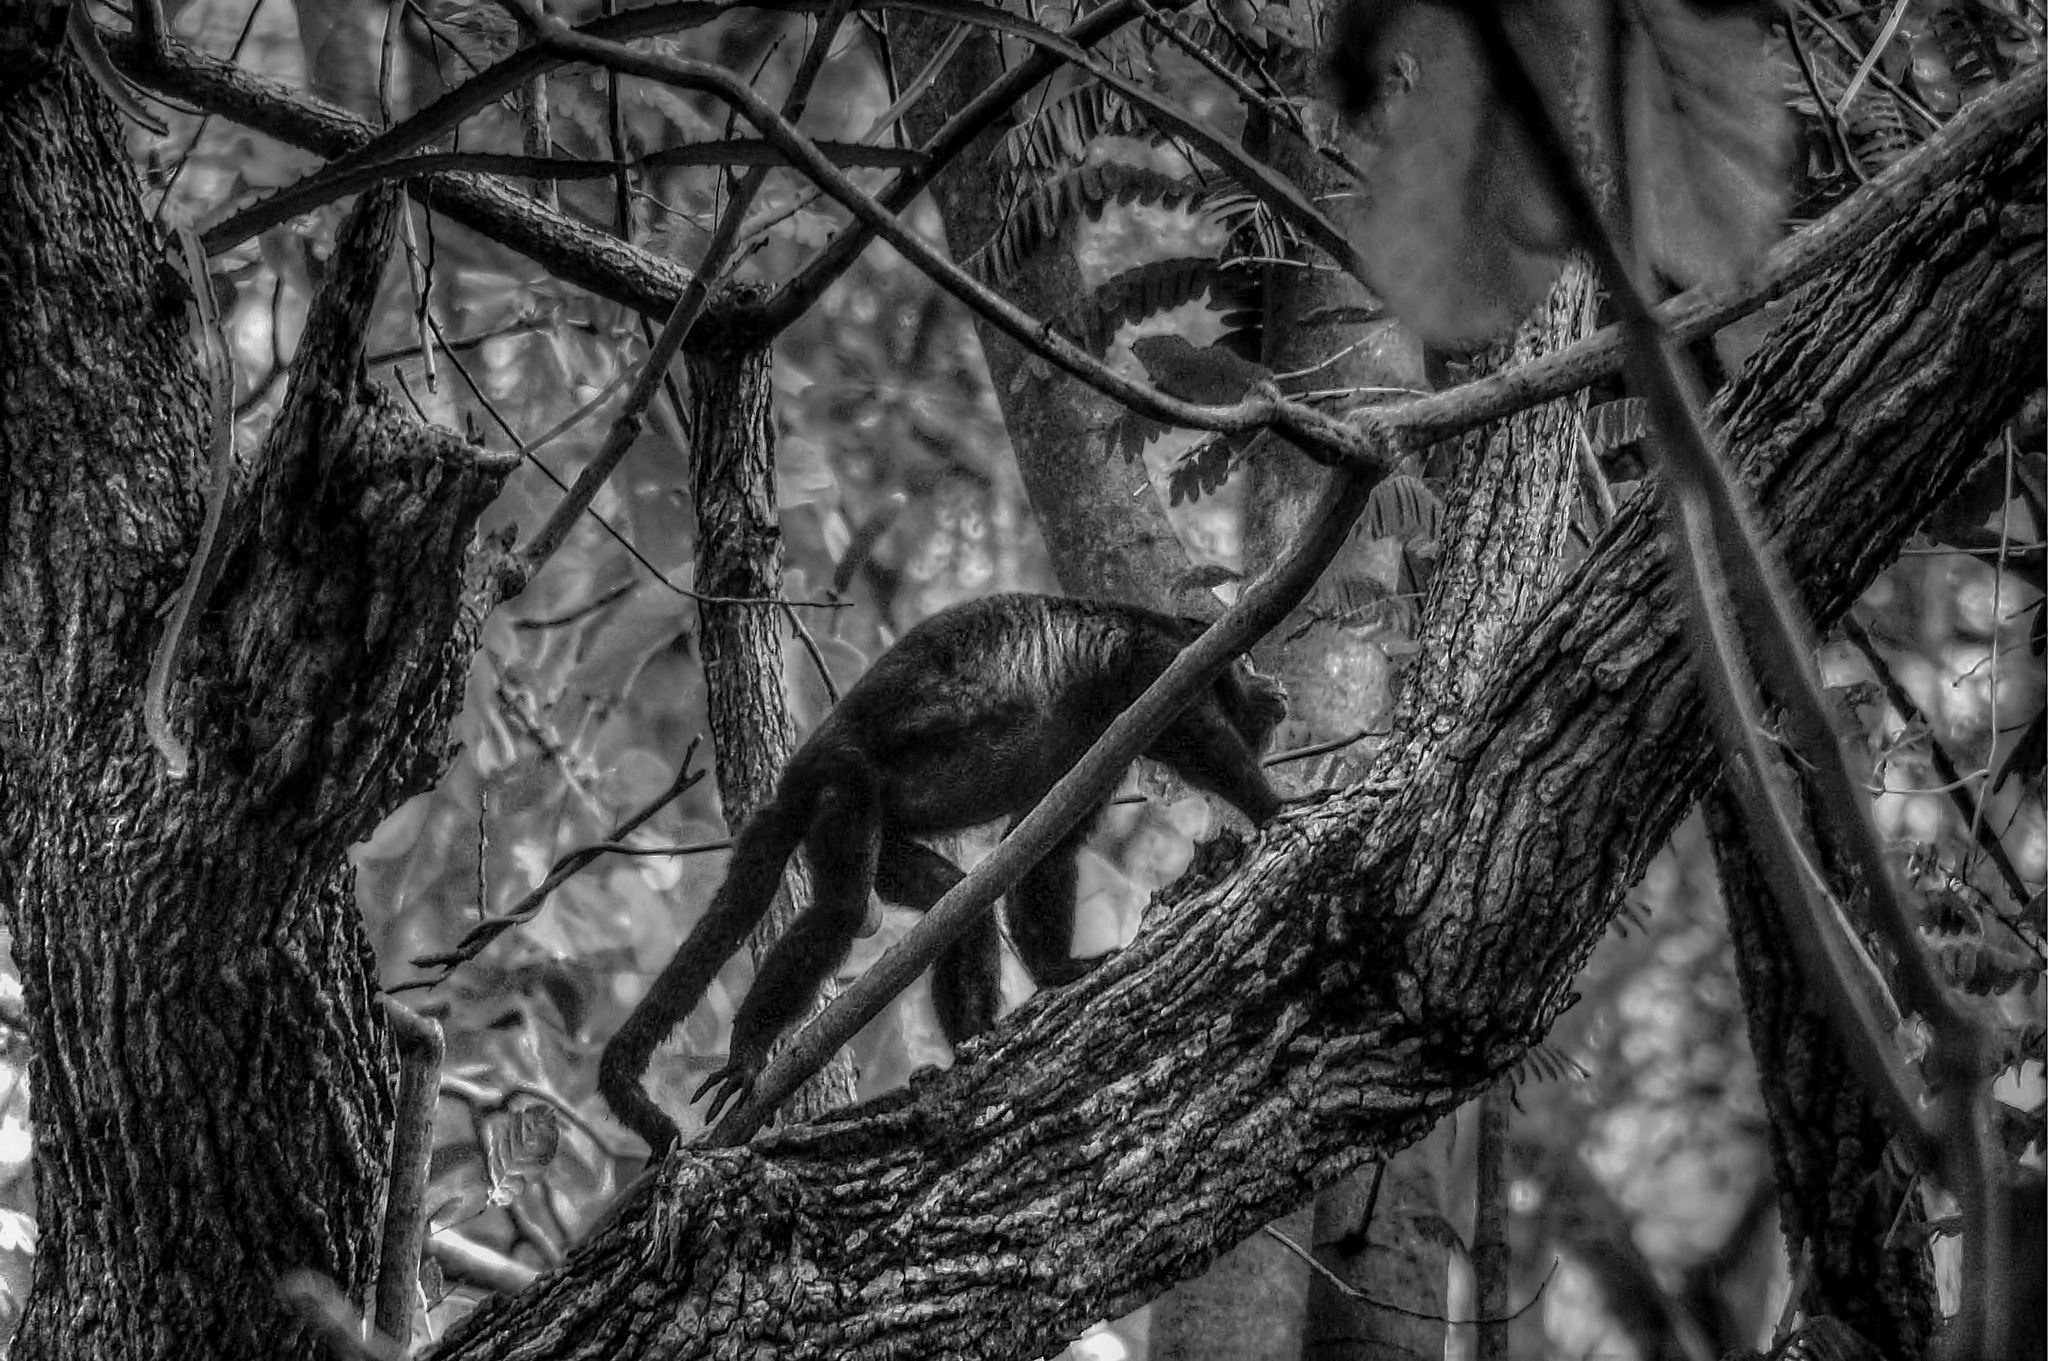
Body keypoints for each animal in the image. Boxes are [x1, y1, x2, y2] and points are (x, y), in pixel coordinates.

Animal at [598, 593, 1288, 1150]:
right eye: (1250, 660)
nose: (1276, 684)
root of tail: (799, 769)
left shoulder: (1104, 740)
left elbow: (1043, 840)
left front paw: (1057, 971)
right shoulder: (1157, 664)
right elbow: (1199, 738)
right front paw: (1277, 807)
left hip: (877, 835)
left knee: (957, 903)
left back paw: (971, 1043)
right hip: (844, 784)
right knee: (843, 909)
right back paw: (749, 1050)